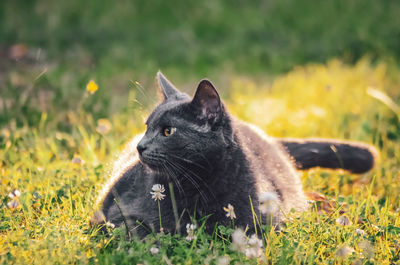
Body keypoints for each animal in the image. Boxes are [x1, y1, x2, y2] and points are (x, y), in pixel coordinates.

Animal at [91, 71, 378, 236]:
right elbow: (140, 230)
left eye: (167, 131)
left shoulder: (267, 220)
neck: (197, 187)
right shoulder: (117, 211)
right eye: (147, 126)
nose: (140, 146)